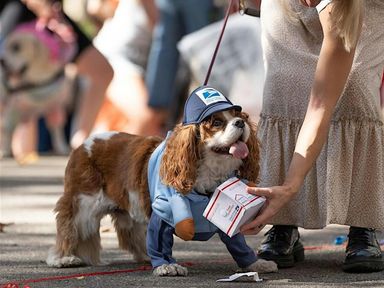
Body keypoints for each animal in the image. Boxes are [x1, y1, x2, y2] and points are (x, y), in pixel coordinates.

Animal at [0, 20, 78, 160]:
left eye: (16, 47)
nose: (1, 61)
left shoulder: (55, 108)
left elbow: (57, 131)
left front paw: (61, 148)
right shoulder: (12, 109)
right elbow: (7, 131)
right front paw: (4, 150)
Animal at [46, 86, 278, 276]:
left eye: (241, 116)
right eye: (217, 122)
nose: (240, 122)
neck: (206, 171)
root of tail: (81, 145)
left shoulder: (223, 215)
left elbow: (238, 243)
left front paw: (255, 264)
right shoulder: (163, 212)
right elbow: (159, 240)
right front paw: (167, 266)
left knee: (132, 234)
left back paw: (145, 256)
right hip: (84, 203)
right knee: (69, 225)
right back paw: (63, 258)